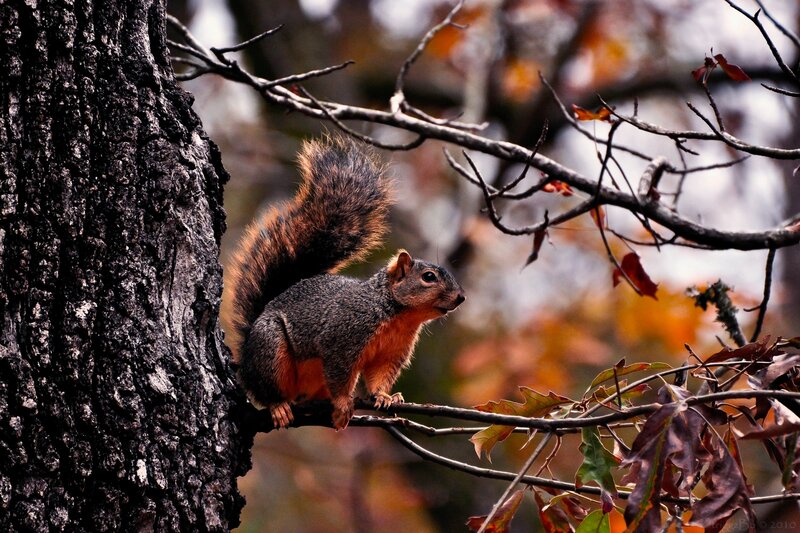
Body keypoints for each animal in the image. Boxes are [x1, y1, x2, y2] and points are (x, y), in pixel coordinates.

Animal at [225, 135, 465, 430]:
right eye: (428, 277)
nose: (460, 297)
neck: (398, 315)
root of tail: (246, 348)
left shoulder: (391, 353)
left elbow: (379, 376)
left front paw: (385, 396)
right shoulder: (342, 338)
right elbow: (340, 374)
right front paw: (342, 404)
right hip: (269, 348)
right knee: (265, 387)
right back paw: (278, 406)